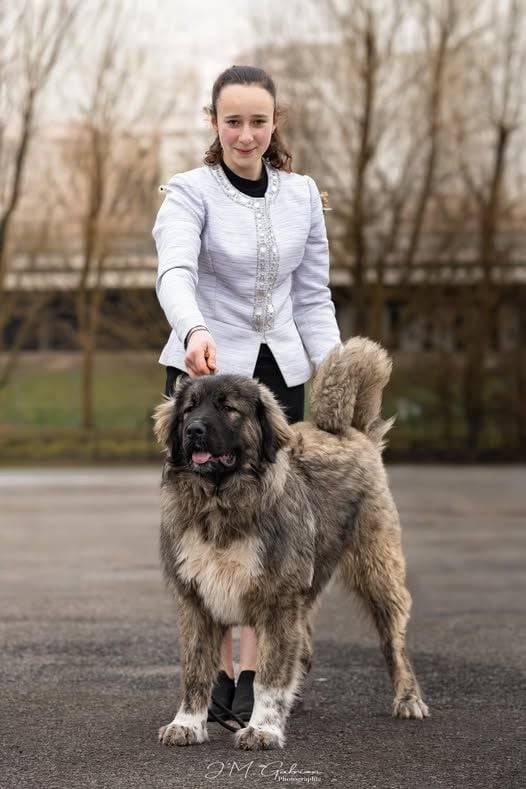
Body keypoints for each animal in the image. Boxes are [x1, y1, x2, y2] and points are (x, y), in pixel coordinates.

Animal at [153, 334, 428, 752]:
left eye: (228, 409)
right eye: (189, 409)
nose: (194, 430)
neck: (221, 503)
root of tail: (349, 432)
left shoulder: (276, 600)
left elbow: (267, 674)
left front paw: (263, 727)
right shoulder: (195, 598)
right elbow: (197, 671)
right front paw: (188, 722)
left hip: (377, 573)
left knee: (393, 642)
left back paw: (408, 697)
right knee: (306, 647)